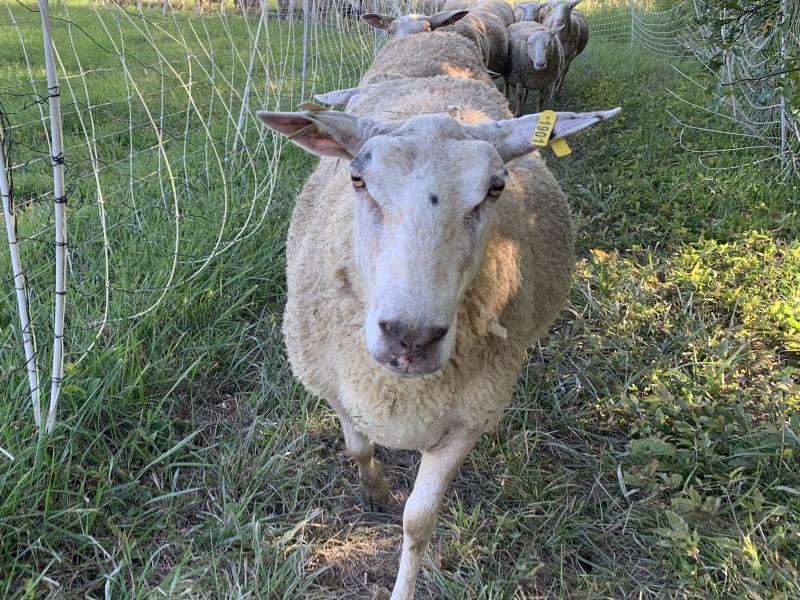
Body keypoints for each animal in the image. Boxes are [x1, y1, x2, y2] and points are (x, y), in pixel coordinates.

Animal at [256, 70, 619, 598]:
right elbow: (357, 446)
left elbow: (418, 521)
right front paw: (375, 490)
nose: (411, 337)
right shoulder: (333, 384)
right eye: (357, 179)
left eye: (495, 188)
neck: (403, 388)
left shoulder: (468, 417)